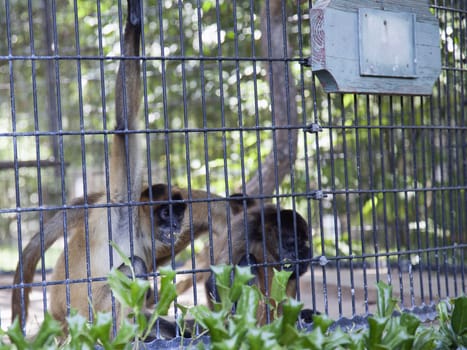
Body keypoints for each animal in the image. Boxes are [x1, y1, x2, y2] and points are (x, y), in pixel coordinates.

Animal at [13, 0, 233, 340]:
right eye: (164, 213)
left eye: (177, 213)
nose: (174, 224)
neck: (137, 228)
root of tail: (61, 318)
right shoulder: (119, 205)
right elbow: (124, 127)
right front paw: (134, 20)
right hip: (90, 316)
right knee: (135, 268)